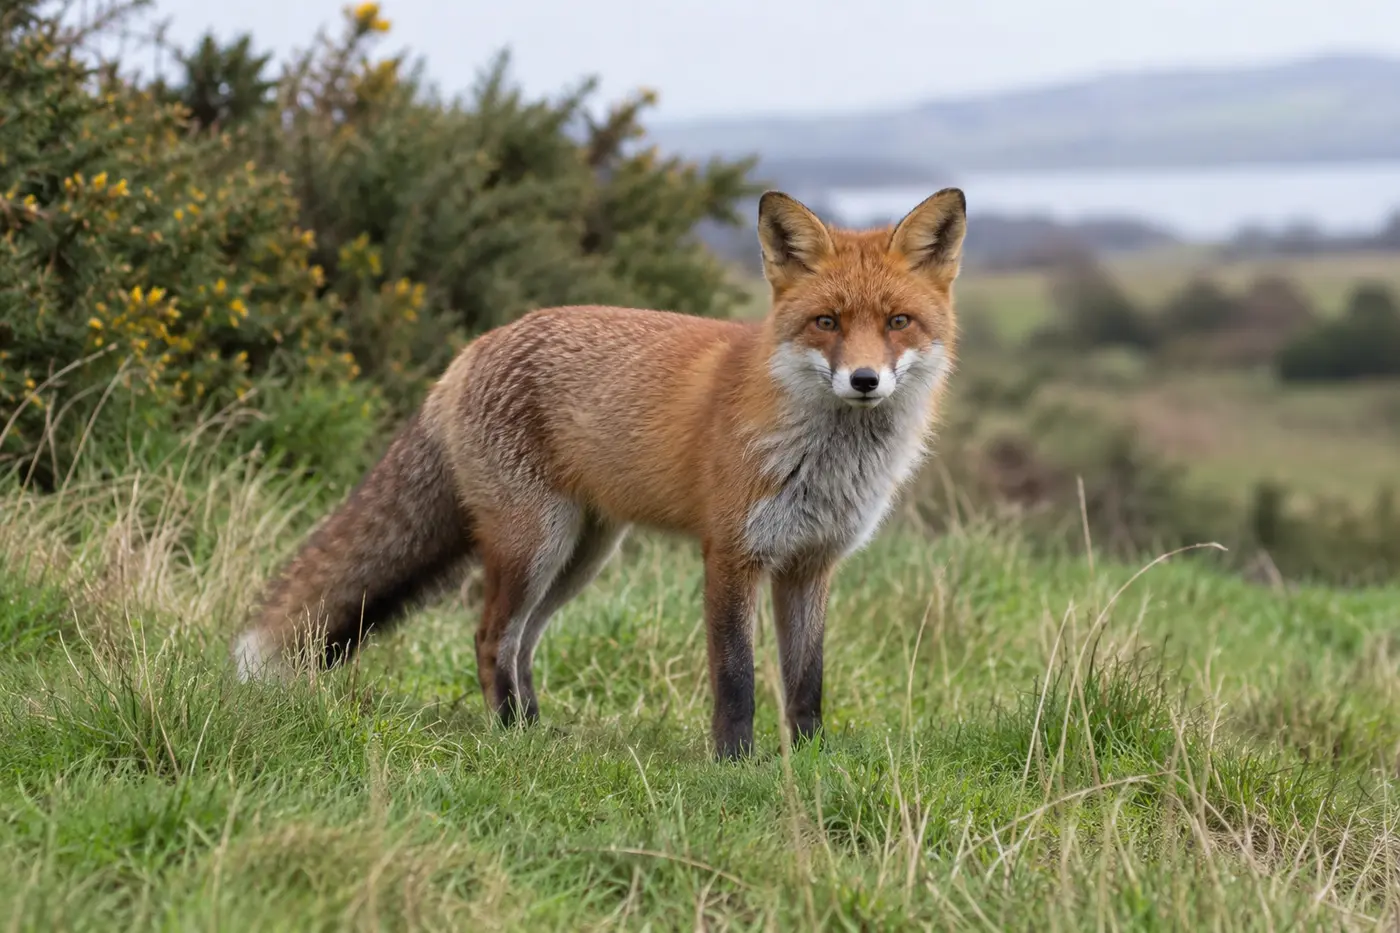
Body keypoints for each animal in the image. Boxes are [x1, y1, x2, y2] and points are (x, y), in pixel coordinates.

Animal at [232, 187, 967, 760]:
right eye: (827, 322)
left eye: (899, 321)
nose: (865, 380)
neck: (825, 458)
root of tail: (474, 348)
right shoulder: (732, 553)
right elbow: (736, 677)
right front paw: (735, 765)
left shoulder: (811, 564)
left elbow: (807, 682)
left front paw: (811, 761)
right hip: (535, 544)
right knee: (490, 637)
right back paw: (509, 736)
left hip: (580, 556)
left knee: (523, 643)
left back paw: (534, 729)